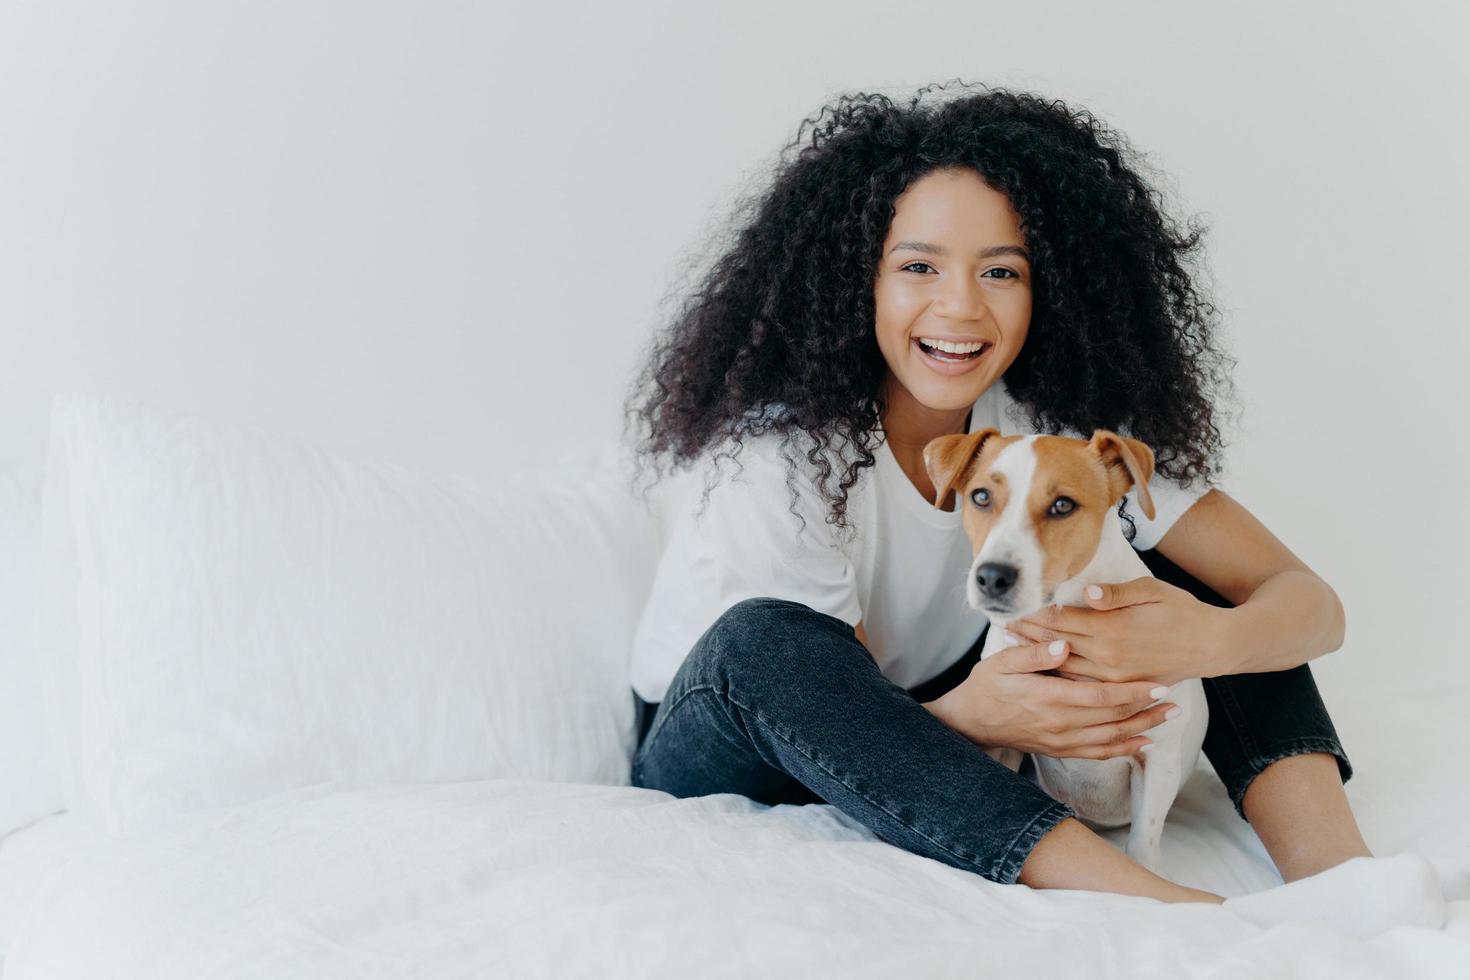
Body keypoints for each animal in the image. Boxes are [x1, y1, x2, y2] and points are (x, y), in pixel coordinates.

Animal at [929, 426, 1205, 869]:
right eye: (981, 497)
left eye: (1062, 505)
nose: (992, 576)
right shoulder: (1005, 740)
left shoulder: (1157, 758)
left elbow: (1142, 843)